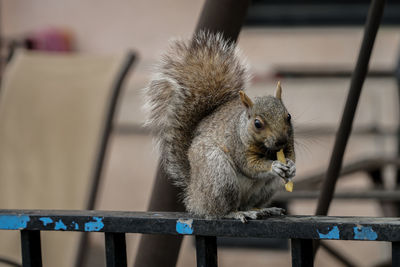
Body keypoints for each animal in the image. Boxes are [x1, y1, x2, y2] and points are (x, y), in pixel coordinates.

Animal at [145, 31, 296, 224]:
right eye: (257, 124)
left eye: (288, 116)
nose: (281, 141)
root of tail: (194, 195)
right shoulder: (237, 145)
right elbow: (249, 165)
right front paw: (274, 166)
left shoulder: (289, 143)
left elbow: (291, 155)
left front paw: (291, 166)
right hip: (219, 175)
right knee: (219, 210)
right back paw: (237, 213)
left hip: (266, 187)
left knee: (247, 203)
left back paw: (263, 209)